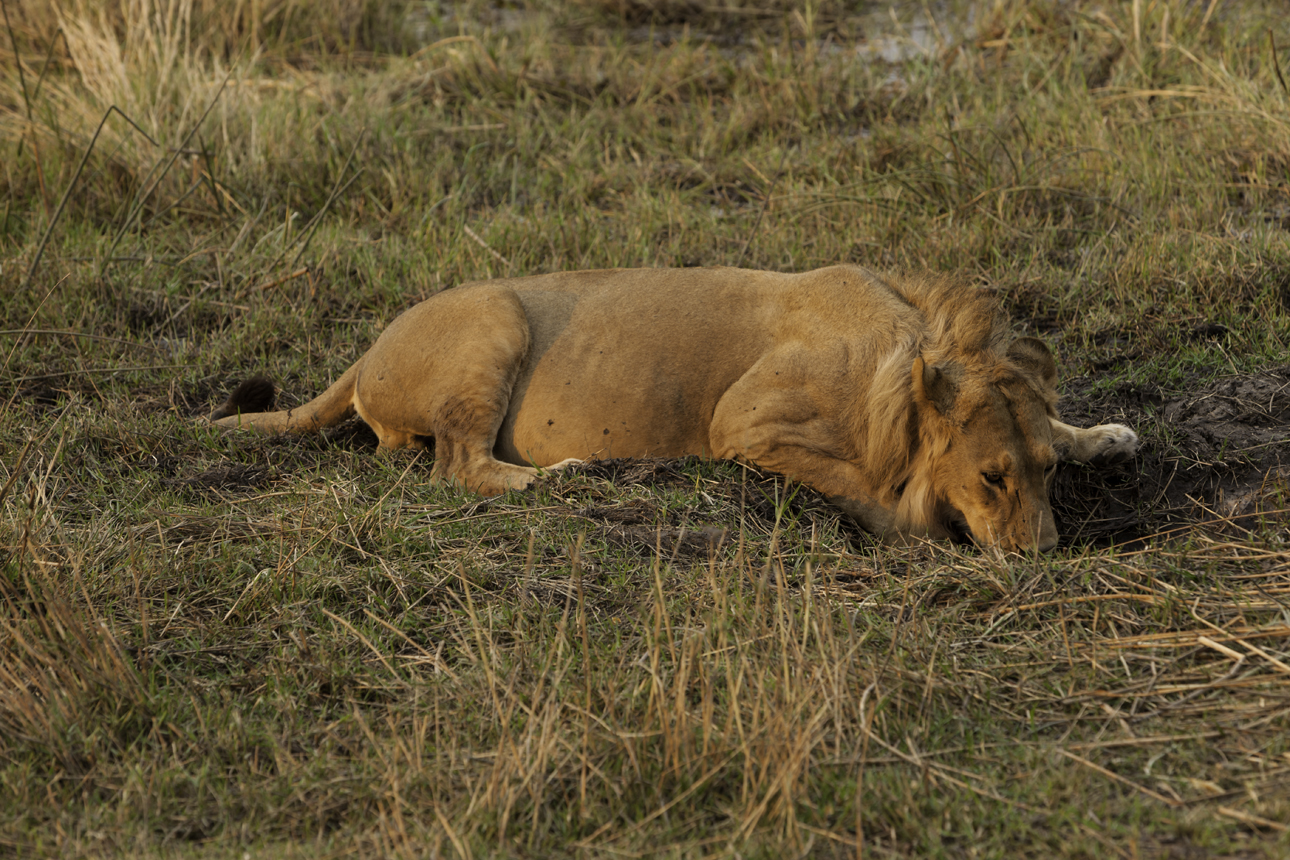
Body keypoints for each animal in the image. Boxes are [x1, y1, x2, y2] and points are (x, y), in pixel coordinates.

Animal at [208, 265, 1137, 551]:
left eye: (1043, 473)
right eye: (991, 478)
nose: (1043, 556)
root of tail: (367, 350)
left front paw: (1103, 433)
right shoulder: (742, 426)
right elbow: (862, 487)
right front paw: (911, 516)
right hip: (495, 321)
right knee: (457, 466)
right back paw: (567, 475)